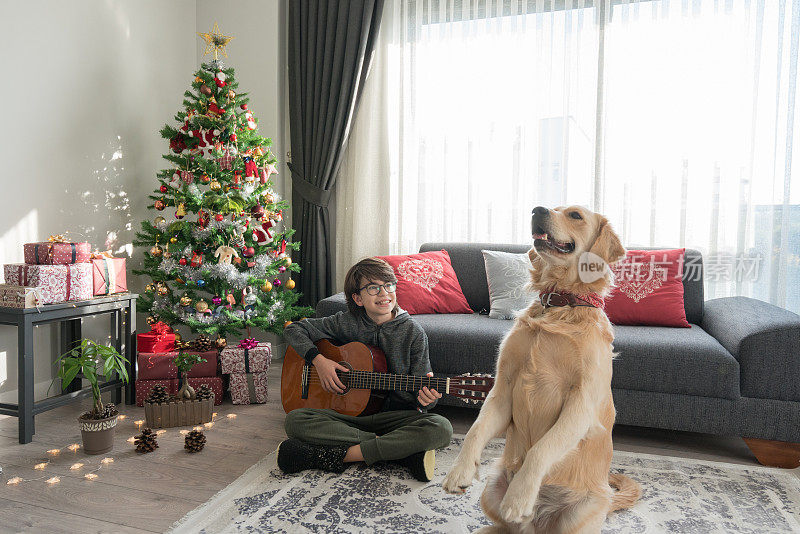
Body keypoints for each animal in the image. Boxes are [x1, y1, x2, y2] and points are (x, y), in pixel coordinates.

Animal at [444, 206, 644, 534]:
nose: (537, 210)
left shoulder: (580, 404)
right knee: (506, 528)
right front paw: (459, 471)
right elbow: (475, 430)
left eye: (575, 215)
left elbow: (541, 449)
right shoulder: (503, 388)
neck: (560, 303)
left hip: (581, 513)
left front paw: (519, 497)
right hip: (491, 489)